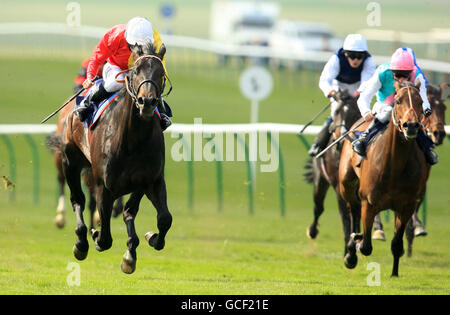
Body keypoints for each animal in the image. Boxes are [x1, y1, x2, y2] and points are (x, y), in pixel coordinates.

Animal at [48, 43, 172, 276]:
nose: (147, 102)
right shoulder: (104, 185)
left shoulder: (150, 180)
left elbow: (162, 219)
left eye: (161, 74)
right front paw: (95, 235)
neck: (133, 139)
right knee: (77, 199)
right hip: (70, 161)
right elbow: (105, 236)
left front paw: (143, 244)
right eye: (135, 71)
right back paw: (80, 240)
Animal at [302, 90, 362, 256]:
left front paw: (355, 242)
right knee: (318, 207)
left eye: (355, 112)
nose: (341, 138)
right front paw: (348, 248)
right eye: (335, 112)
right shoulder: (339, 186)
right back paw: (312, 231)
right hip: (320, 180)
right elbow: (346, 214)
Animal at [340, 80, 430, 278]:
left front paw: (394, 273)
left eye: (421, 101)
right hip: (346, 183)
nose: (411, 125)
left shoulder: (406, 206)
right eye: (397, 100)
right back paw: (351, 247)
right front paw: (356, 243)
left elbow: (396, 244)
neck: (394, 166)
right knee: (353, 210)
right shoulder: (369, 202)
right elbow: (365, 246)